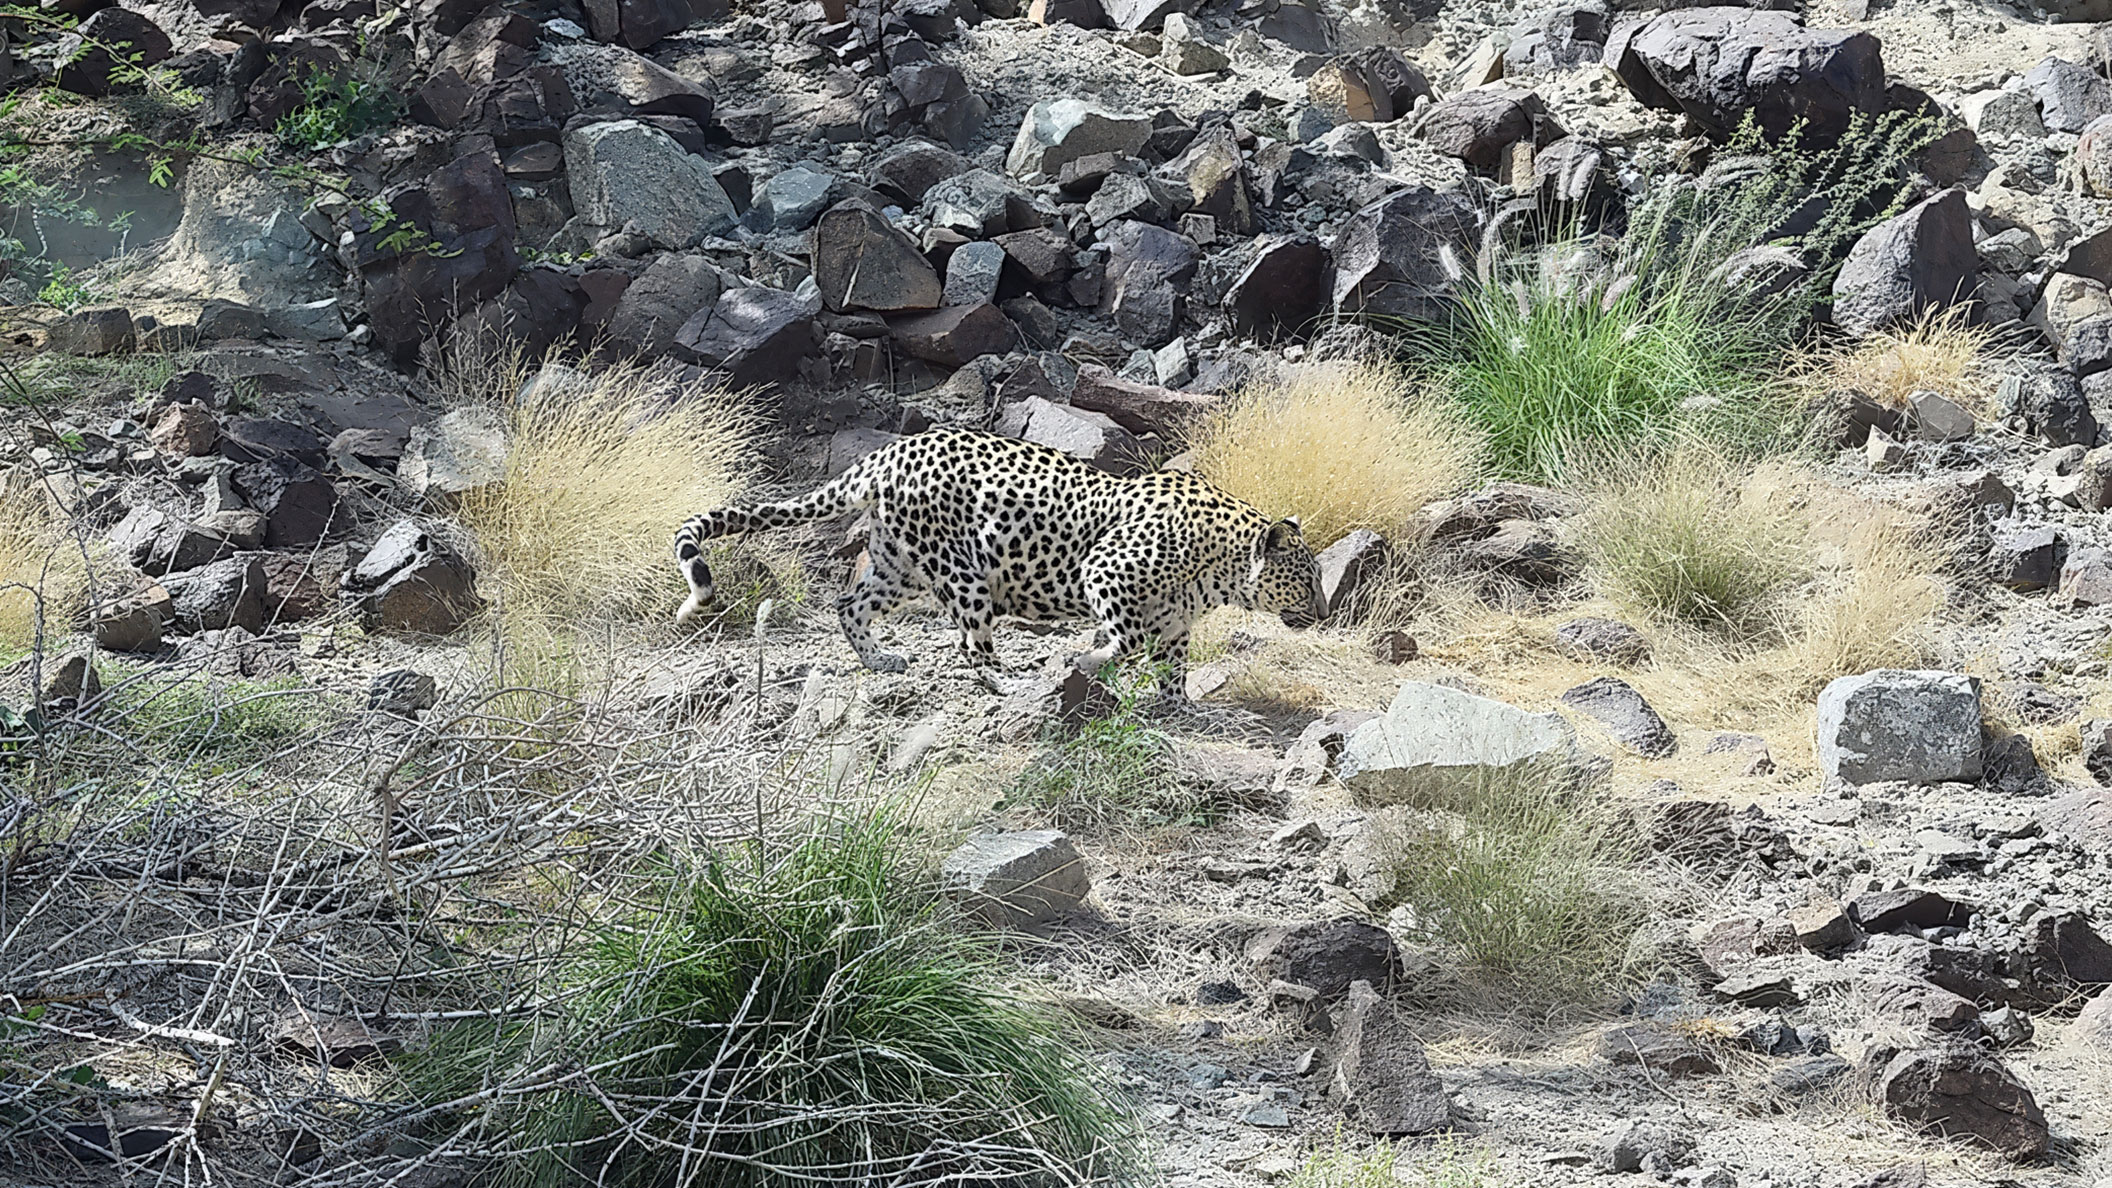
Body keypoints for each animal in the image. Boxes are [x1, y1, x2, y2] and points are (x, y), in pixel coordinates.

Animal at [675, 424, 1317, 684]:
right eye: (1307, 581)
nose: (1323, 612)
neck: (1221, 567)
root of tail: (887, 454)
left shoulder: (1177, 623)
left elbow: (1171, 666)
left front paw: (1175, 709)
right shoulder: (1105, 572)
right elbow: (1128, 639)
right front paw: (1088, 659)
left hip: (900, 565)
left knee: (849, 603)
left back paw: (881, 661)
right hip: (963, 574)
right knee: (971, 643)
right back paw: (1006, 682)